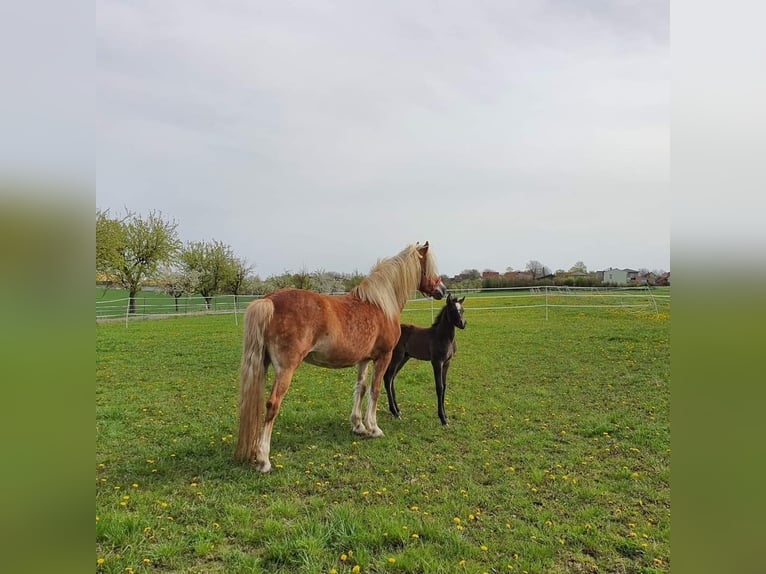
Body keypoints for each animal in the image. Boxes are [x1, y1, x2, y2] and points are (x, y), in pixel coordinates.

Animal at [237, 243, 448, 472]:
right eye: (428, 267)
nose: (443, 290)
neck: (380, 305)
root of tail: (269, 300)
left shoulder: (364, 359)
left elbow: (361, 389)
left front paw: (359, 426)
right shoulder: (383, 357)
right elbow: (375, 390)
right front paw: (374, 428)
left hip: (263, 365)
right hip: (286, 369)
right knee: (272, 404)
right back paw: (264, 460)